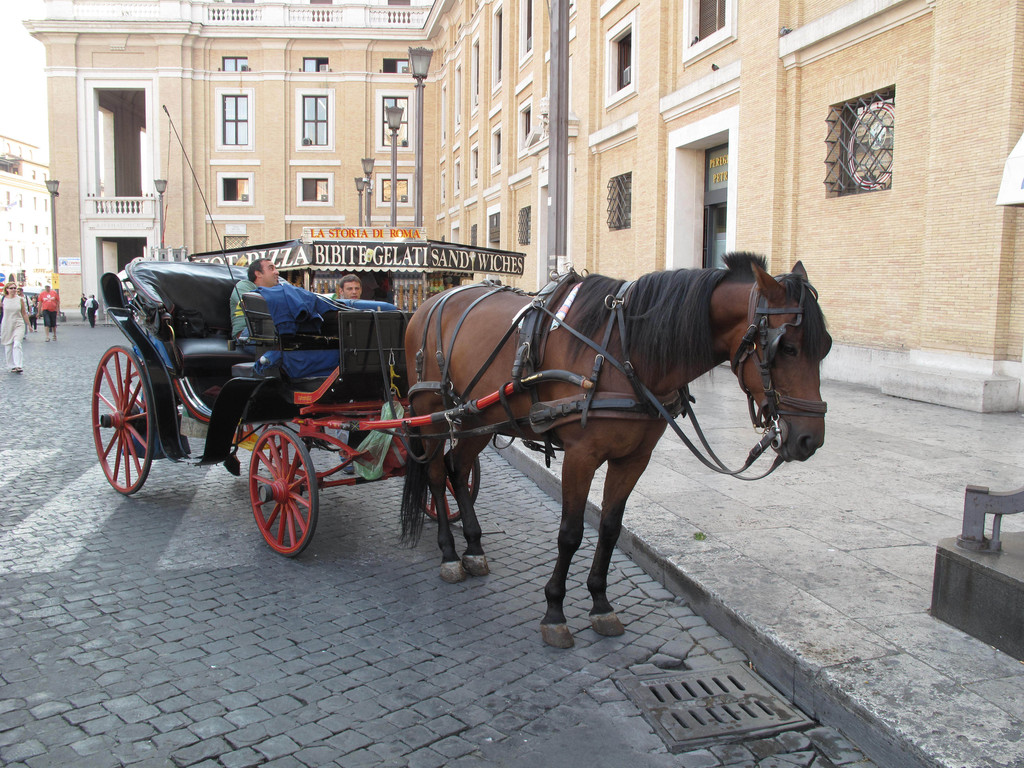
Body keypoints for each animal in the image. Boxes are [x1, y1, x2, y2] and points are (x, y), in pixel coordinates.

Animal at [399, 253, 831, 651]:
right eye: (786, 348)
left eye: (825, 347)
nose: (810, 440)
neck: (626, 352)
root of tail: (430, 302)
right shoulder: (580, 456)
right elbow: (570, 533)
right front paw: (554, 611)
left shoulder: (634, 459)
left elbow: (609, 527)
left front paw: (601, 603)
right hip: (431, 412)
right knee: (437, 475)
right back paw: (450, 554)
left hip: (476, 416)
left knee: (458, 468)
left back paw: (473, 547)